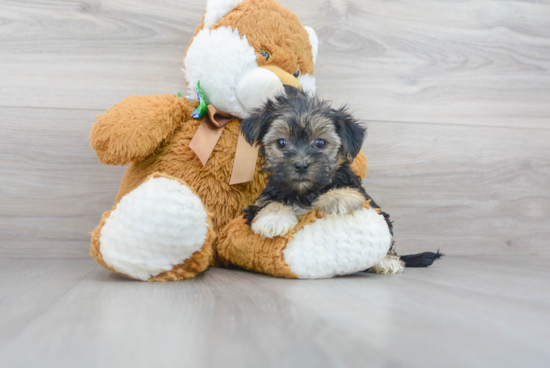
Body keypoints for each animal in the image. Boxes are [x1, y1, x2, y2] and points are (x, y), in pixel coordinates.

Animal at [240, 87, 392, 240]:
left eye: (320, 143)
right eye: (281, 142)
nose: (301, 165)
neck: (305, 194)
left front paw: (339, 196)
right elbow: (266, 202)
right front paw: (274, 217)